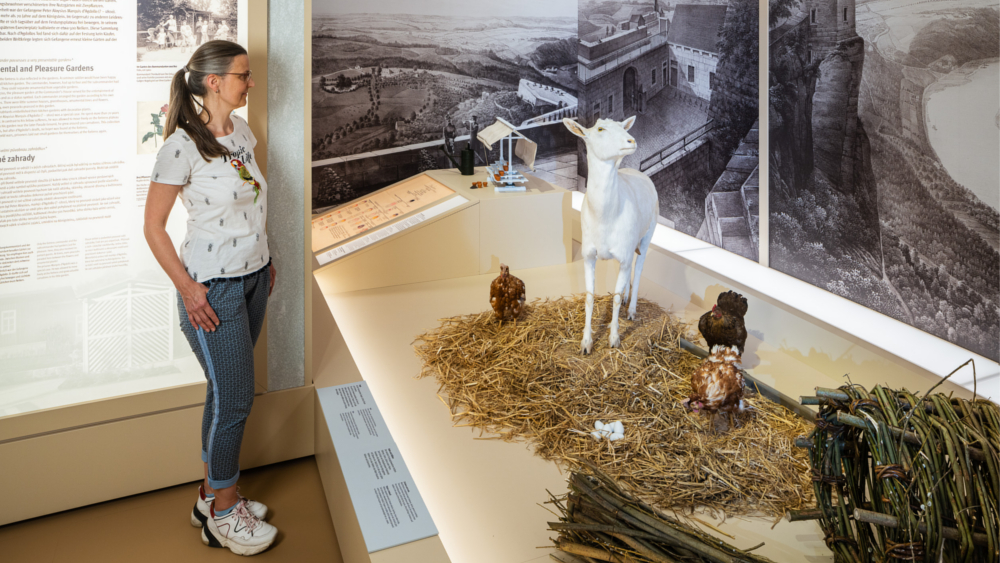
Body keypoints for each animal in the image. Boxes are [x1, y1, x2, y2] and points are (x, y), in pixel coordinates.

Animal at [568, 117, 660, 354]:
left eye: (623, 126)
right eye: (600, 129)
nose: (631, 140)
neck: (605, 217)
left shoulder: (625, 256)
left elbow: (616, 299)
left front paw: (614, 338)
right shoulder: (588, 255)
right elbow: (589, 297)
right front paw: (586, 343)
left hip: (648, 235)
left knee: (638, 269)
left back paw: (632, 309)